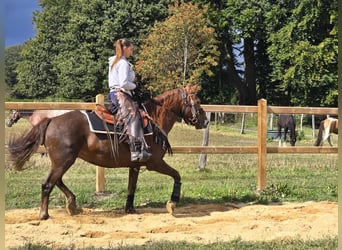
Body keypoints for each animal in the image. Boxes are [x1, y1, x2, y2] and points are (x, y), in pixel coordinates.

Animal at [8, 85, 210, 220]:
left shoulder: (136, 165)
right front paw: (172, 203)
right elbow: (177, 175)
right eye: (198, 101)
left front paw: (129, 209)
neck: (154, 119)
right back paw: (44, 214)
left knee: (56, 180)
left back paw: (72, 205)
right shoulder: (155, 163)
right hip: (64, 160)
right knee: (48, 183)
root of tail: (52, 120)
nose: (205, 121)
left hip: (62, 161)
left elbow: (131, 186)